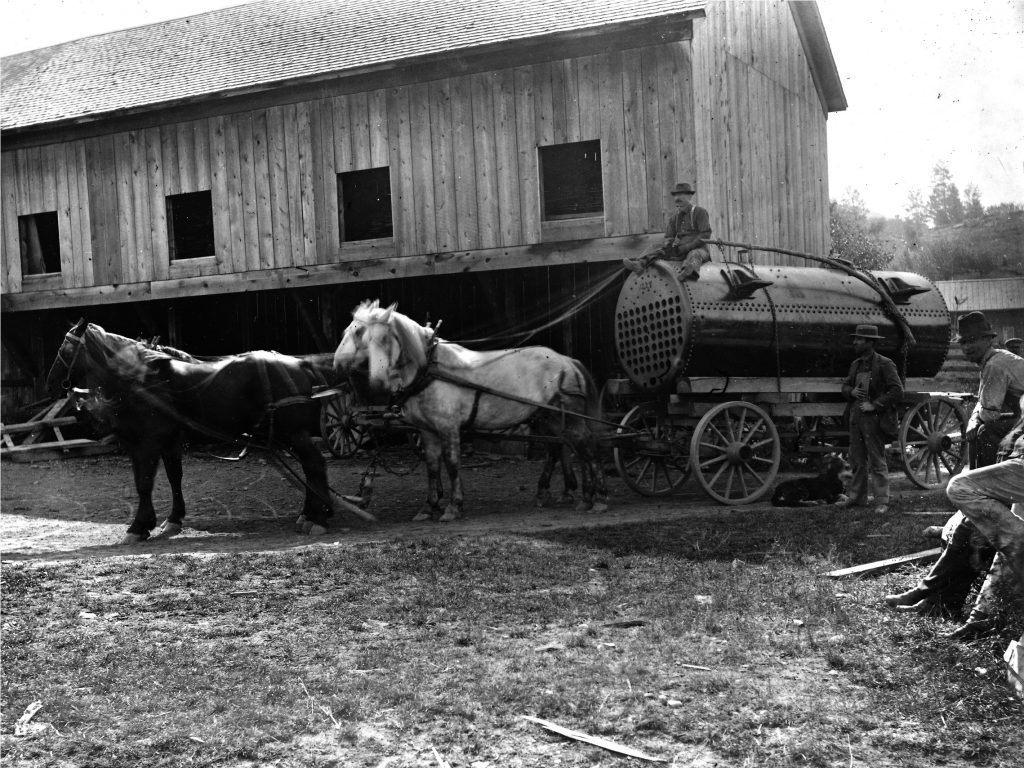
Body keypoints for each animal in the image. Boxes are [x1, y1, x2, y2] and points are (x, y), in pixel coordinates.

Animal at [45, 319, 331, 540]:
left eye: (66, 349)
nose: (50, 382)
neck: (142, 380)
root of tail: (300, 364)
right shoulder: (169, 441)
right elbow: (174, 477)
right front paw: (173, 519)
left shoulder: (145, 443)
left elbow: (143, 483)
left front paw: (139, 526)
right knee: (310, 468)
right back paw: (310, 513)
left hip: (294, 433)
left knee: (315, 465)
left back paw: (319, 518)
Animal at [333, 301, 606, 524]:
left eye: (358, 332)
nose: (336, 363)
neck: (429, 369)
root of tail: (568, 362)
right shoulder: (427, 431)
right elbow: (432, 467)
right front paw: (428, 507)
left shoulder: (448, 427)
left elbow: (452, 464)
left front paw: (453, 507)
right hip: (549, 417)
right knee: (561, 447)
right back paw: (563, 494)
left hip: (569, 417)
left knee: (586, 445)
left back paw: (596, 498)